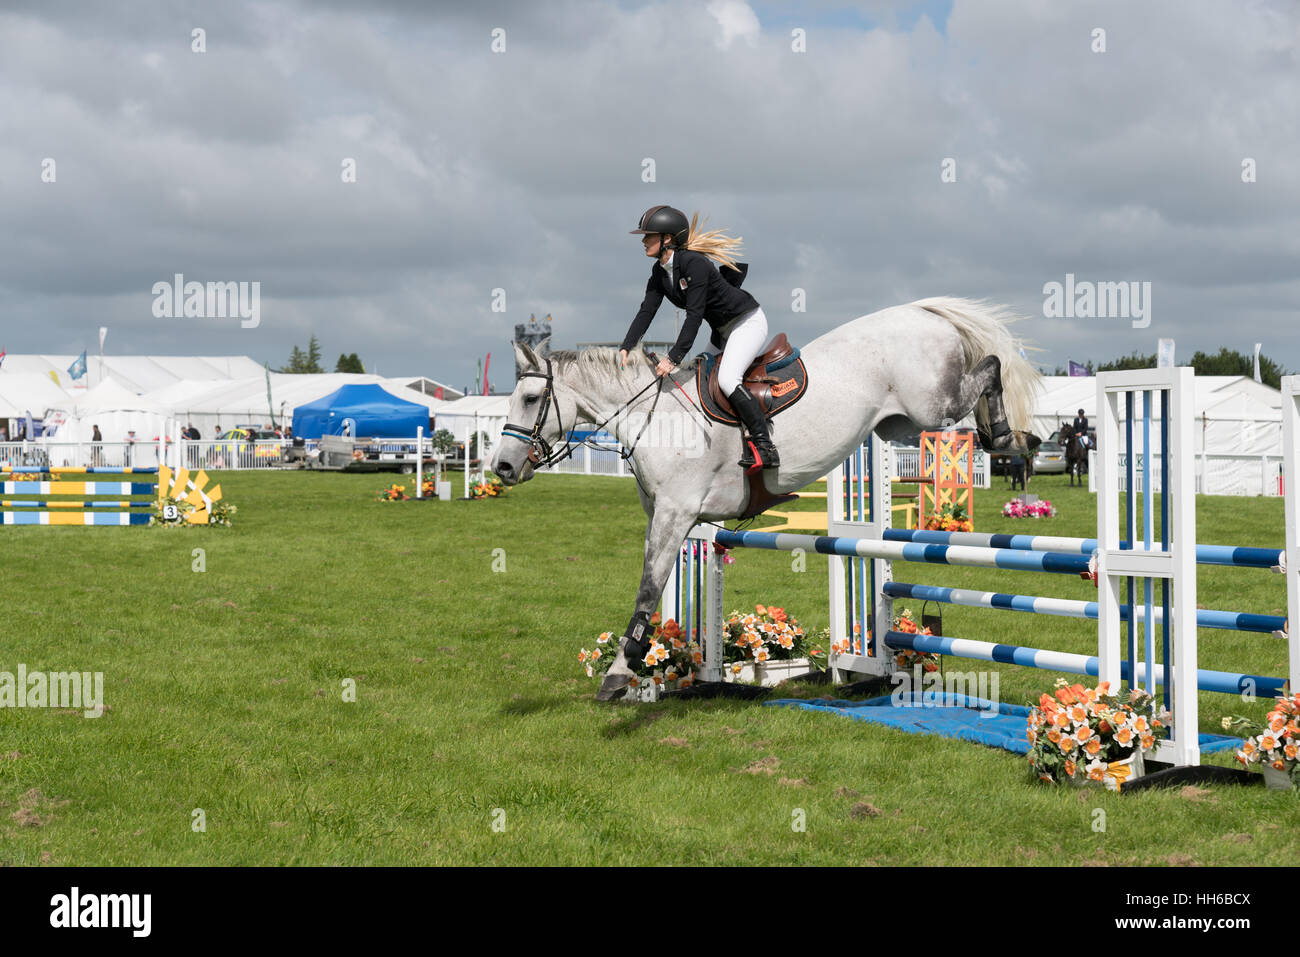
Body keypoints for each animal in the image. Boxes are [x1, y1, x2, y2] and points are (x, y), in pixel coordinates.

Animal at [491, 297, 1043, 700]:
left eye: (532, 399)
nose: (502, 467)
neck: (656, 417)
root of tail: (921, 311)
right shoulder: (663, 515)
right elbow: (656, 586)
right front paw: (654, 666)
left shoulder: (676, 513)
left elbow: (648, 589)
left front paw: (618, 676)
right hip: (900, 422)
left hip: (933, 407)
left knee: (989, 367)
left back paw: (1009, 437)